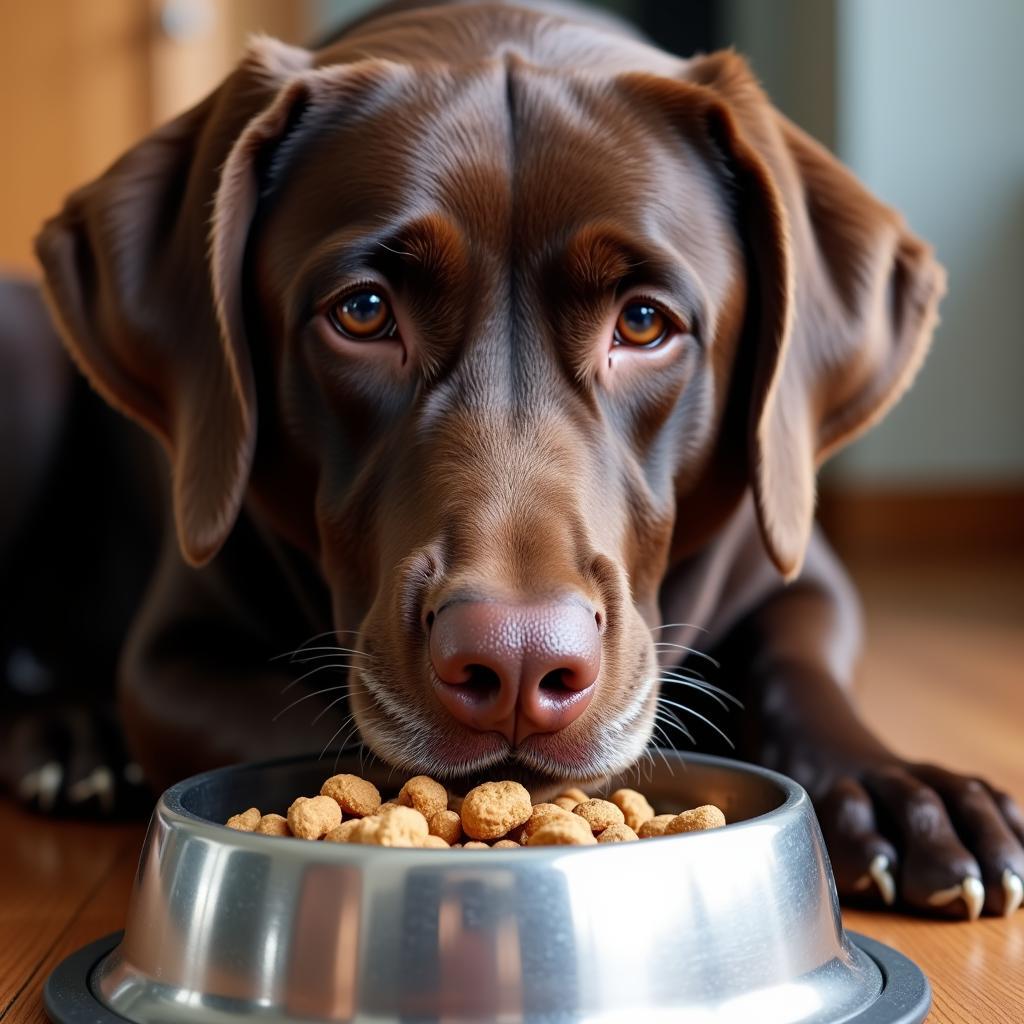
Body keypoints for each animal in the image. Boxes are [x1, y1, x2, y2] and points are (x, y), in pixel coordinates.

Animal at [2, 0, 1024, 921]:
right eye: (363, 312)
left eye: (643, 323)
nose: (521, 665)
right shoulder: (174, 657)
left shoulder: (801, 570)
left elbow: (803, 668)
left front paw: (897, 791)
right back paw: (70, 736)